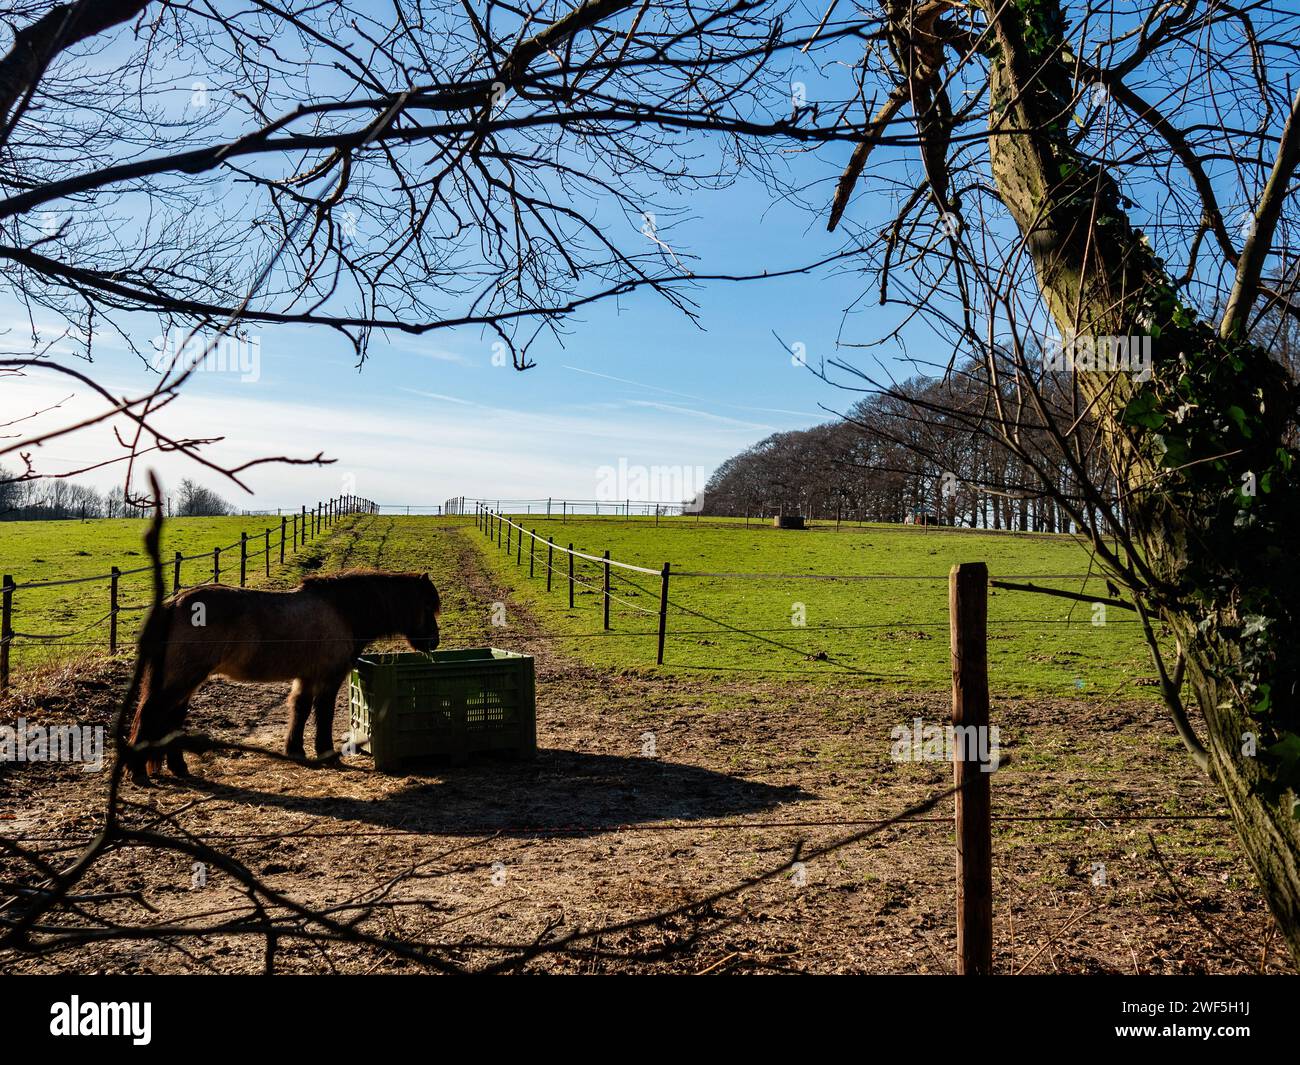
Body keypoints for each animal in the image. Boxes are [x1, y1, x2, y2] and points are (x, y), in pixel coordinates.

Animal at [128, 569, 441, 785]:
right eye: (427, 607)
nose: (434, 641)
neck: (342, 610)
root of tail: (176, 604)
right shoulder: (329, 677)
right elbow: (323, 712)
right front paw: (326, 752)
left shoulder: (306, 677)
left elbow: (300, 709)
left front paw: (295, 750)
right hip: (184, 678)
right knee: (152, 712)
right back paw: (138, 771)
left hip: (186, 681)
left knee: (171, 718)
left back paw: (178, 767)